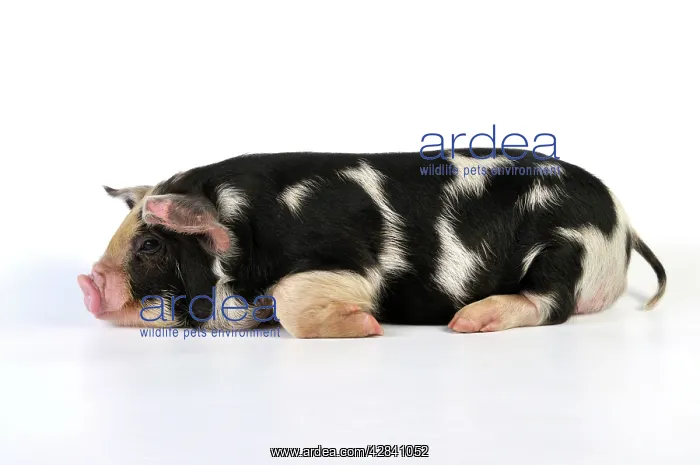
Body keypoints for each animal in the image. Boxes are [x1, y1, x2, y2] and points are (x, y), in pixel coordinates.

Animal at [77, 149, 667, 337]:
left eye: (150, 246)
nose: (86, 282)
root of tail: (624, 221)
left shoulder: (347, 261)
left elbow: (290, 300)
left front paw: (368, 326)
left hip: (565, 250)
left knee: (552, 303)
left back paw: (467, 322)